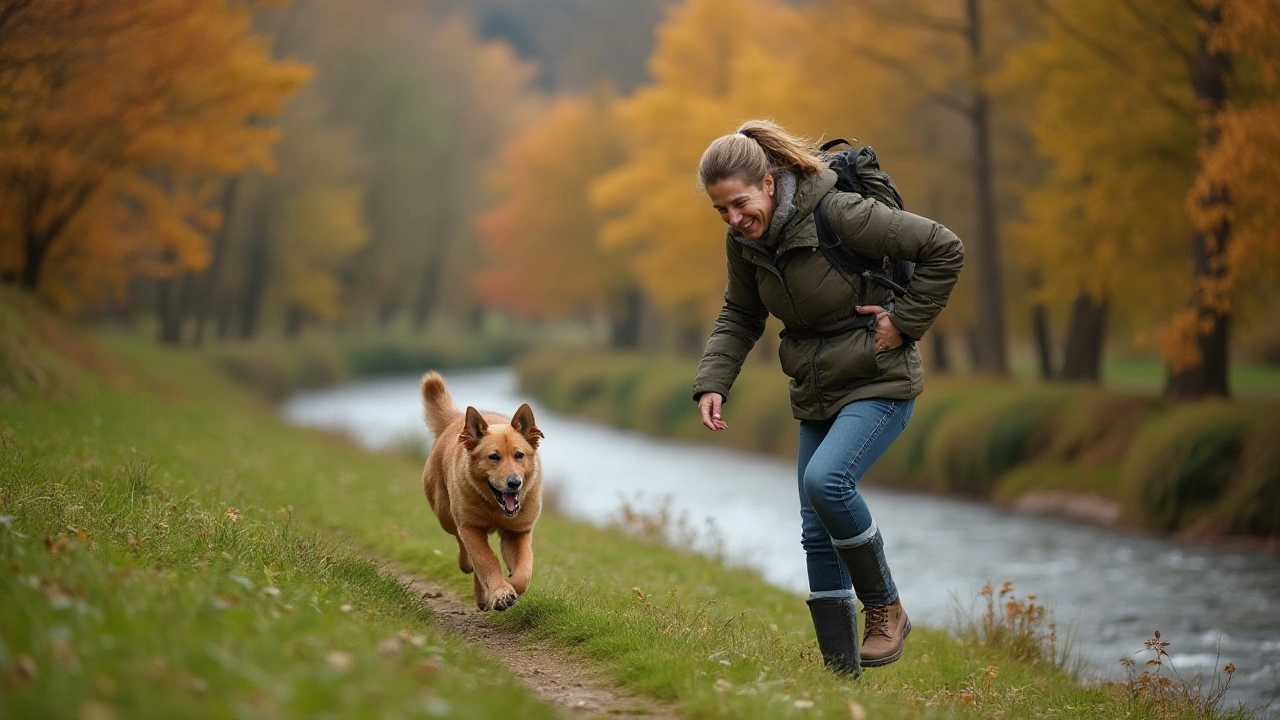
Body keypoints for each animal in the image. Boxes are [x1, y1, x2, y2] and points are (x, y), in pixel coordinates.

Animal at [417, 368, 542, 609]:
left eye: (519, 455)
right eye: (494, 457)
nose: (514, 483)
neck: (495, 507)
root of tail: (456, 419)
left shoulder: (518, 531)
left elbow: (524, 571)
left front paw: (509, 585)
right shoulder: (471, 528)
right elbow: (487, 562)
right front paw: (500, 592)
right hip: (445, 514)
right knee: (465, 548)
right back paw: (472, 573)